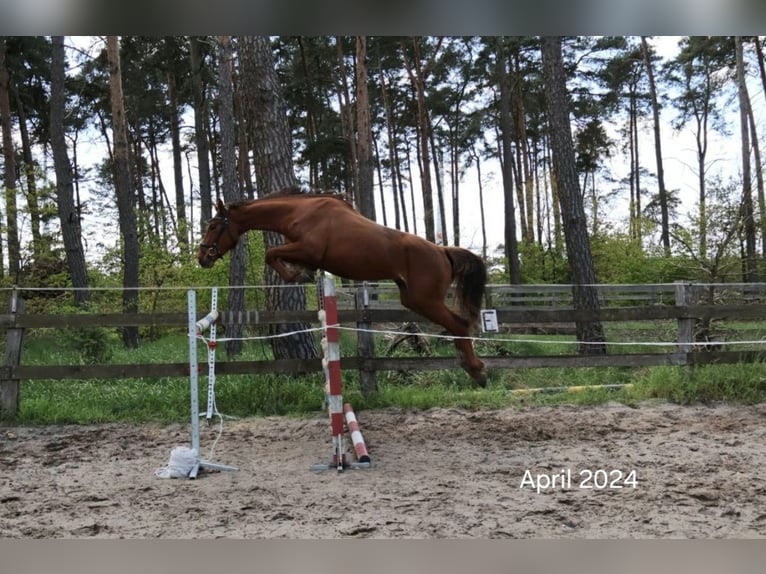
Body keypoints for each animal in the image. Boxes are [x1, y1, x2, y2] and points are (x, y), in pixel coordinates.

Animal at [195, 189, 488, 388]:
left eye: (213, 226)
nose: (202, 258)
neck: (298, 212)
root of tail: (443, 252)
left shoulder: (308, 249)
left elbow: (271, 253)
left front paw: (297, 275)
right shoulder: (300, 250)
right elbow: (276, 255)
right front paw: (302, 274)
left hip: (424, 299)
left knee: (459, 324)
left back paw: (476, 370)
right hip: (413, 299)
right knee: (457, 324)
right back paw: (470, 366)